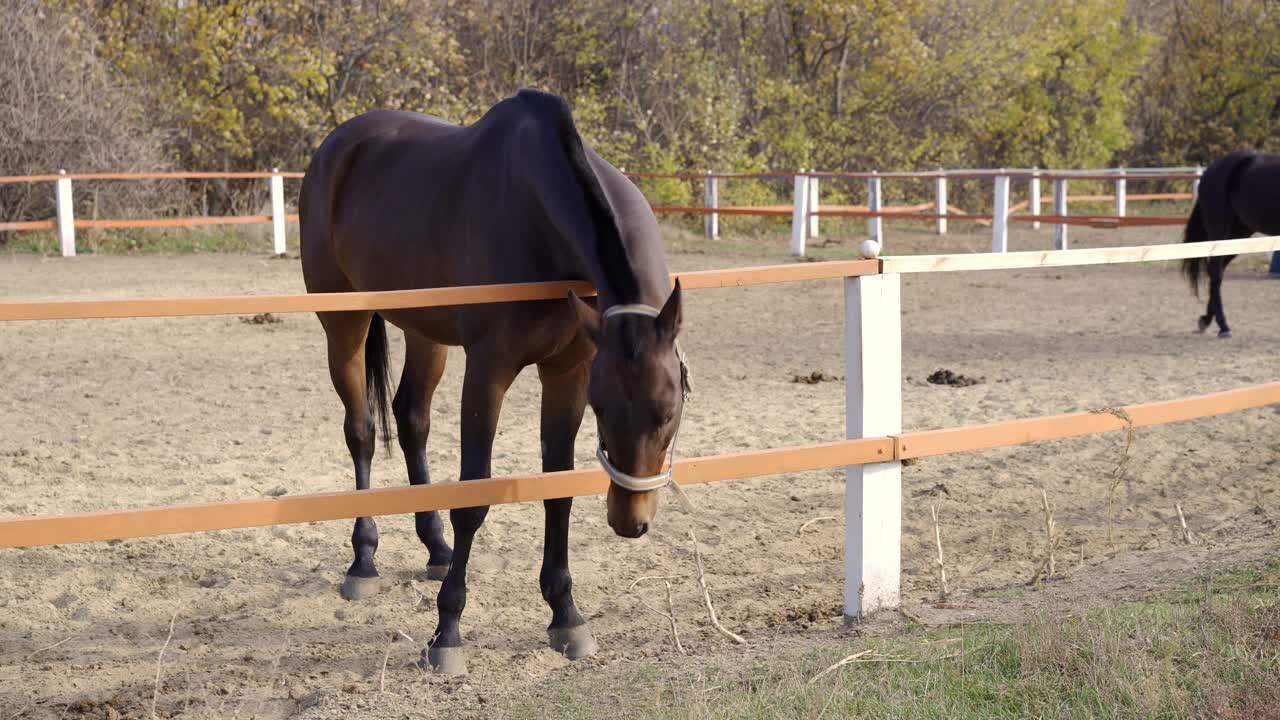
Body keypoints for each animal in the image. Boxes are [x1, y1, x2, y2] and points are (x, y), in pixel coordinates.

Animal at [298, 89, 686, 671]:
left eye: (667, 412)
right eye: (605, 410)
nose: (629, 520)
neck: (539, 226)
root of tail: (336, 147)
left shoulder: (566, 373)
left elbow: (557, 492)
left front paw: (566, 616)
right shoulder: (488, 372)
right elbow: (474, 498)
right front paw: (447, 632)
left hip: (426, 333)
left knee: (412, 420)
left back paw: (435, 548)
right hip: (344, 322)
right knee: (361, 430)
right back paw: (363, 560)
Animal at [1177, 151, 1280, 335]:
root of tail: (1211, 170)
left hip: (1238, 235)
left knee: (1217, 271)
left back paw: (1206, 320)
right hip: (1221, 232)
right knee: (1216, 272)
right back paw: (1223, 326)